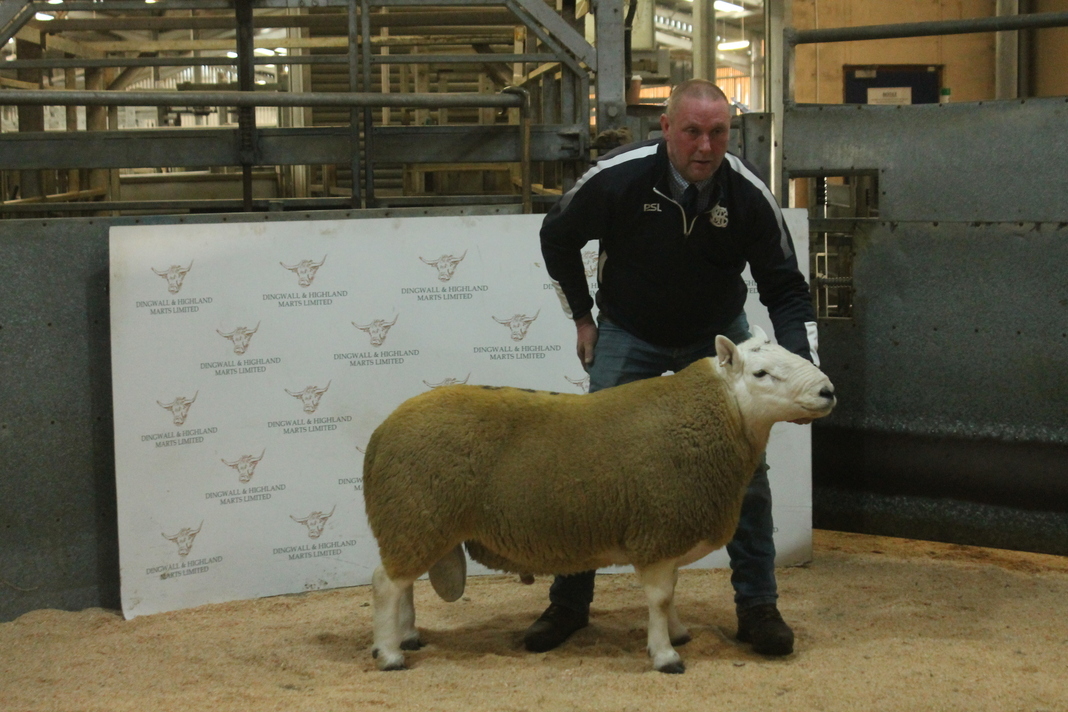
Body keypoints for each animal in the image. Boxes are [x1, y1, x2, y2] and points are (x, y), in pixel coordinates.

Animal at [363, 328, 837, 674]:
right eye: (760, 373)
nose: (827, 391)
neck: (718, 416)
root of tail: (382, 432)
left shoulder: (668, 534)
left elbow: (671, 594)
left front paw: (677, 633)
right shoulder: (658, 529)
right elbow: (660, 597)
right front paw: (665, 655)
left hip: (416, 522)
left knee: (404, 584)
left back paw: (407, 636)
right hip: (416, 516)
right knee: (387, 583)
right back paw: (390, 654)